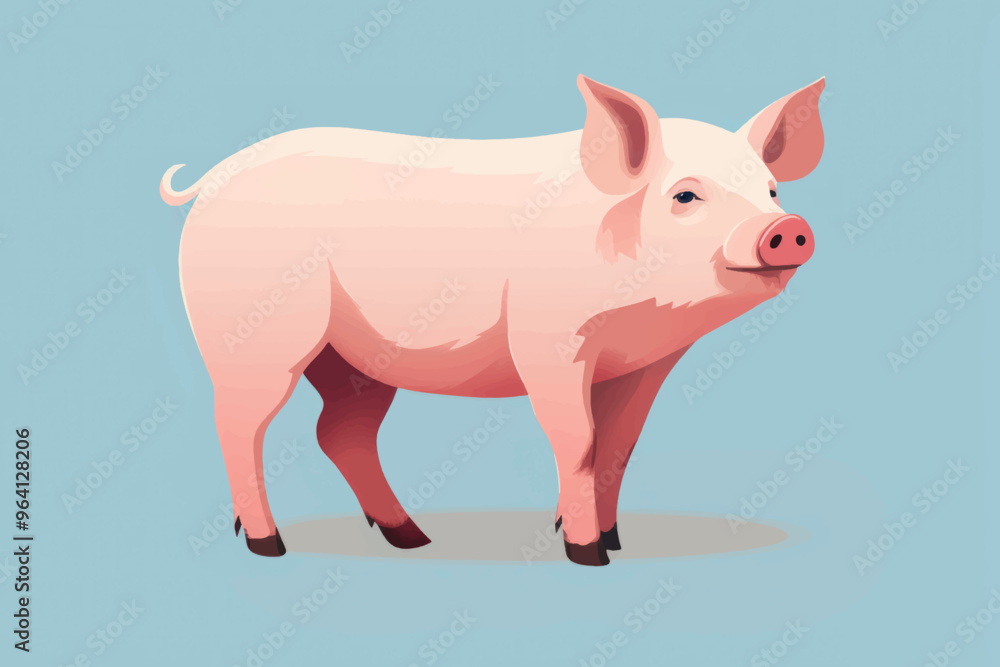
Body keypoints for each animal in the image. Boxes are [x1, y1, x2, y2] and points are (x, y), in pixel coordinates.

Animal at [160, 75, 825, 566]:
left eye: (770, 189)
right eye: (685, 195)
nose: (787, 228)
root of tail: (209, 180)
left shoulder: (648, 363)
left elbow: (620, 444)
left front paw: (615, 541)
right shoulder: (550, 342)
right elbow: (579, 440)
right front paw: (588, 555)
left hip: (351, 361)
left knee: (339, 432)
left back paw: (412, 539)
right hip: (252, 338)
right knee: (238, 425)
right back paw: (270, 546)